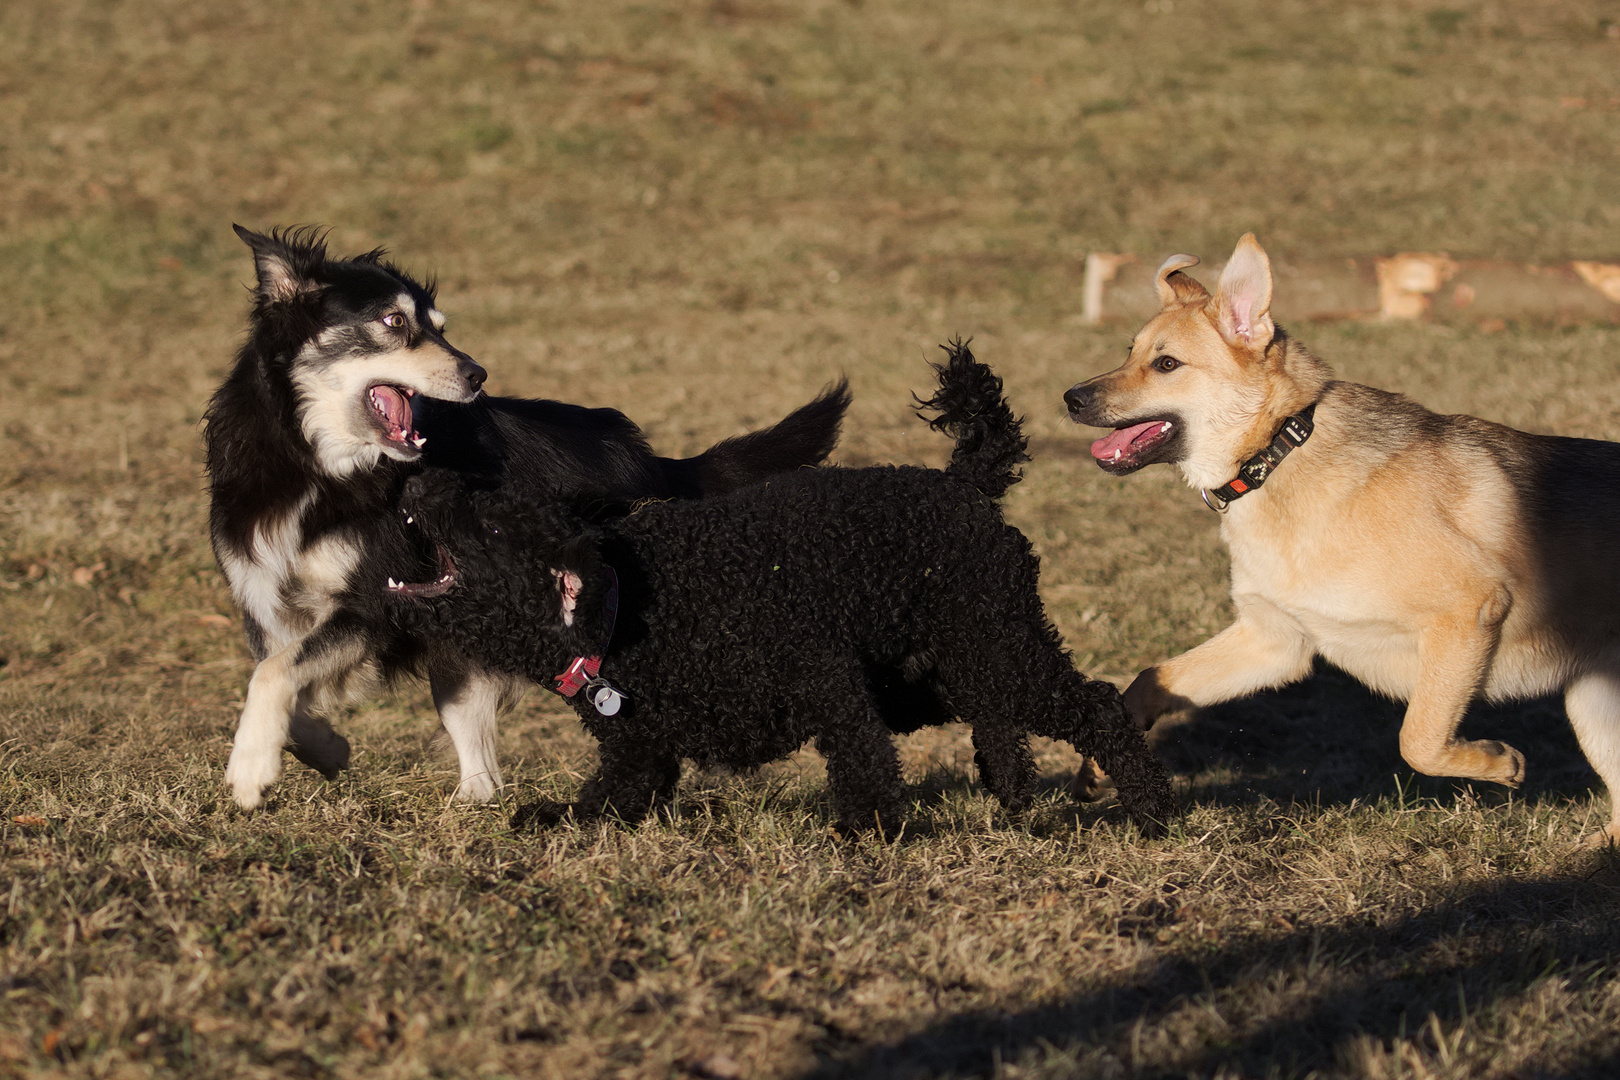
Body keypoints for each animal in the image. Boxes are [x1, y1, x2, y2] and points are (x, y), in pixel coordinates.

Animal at [205, 228, 848, 809]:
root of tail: (645, 458)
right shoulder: (268, 600)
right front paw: (317, 750)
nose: (478, 375)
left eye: (441, 327)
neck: (312, 462)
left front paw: (249, 769)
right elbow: (279, 674)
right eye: (392, 321)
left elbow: (273, 675)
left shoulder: (375, 603)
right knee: (484, 772)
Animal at [1062, 234, 1620, 841]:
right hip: (1596, 706)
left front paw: (1497, 762)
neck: (1278, 455)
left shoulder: (1468, 612)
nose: (1070, 398)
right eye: (1129, 351)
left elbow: (1418, 740)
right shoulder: (1274, 640)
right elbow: (1149, 678)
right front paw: (1099, 767)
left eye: (1166, 364)